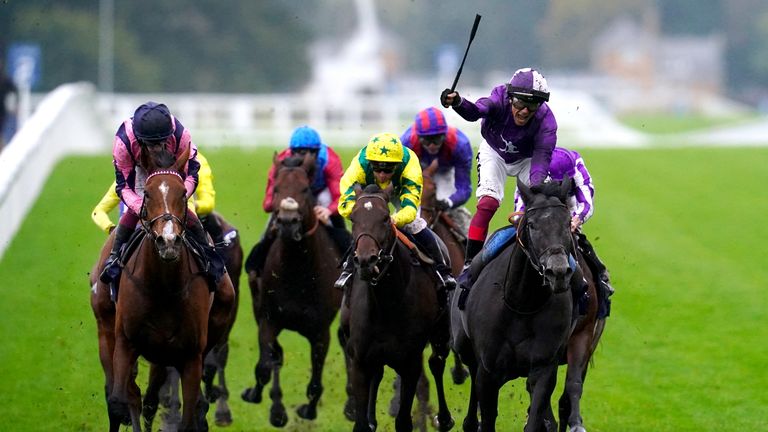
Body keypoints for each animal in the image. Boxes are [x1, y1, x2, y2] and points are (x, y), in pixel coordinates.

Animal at [240, 154, 342, 426]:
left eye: (305, 189)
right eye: (276, 188)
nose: (286, 222)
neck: (297, 270)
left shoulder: (321, 332)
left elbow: (315, 382)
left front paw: (309, 410)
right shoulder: (268, 319)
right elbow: (265, 366)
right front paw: (259, 397)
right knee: (275, 357)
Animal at [340, 185, 452, 432]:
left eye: (384, 218)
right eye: (353, 218)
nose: (366, 259)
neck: (387, 303)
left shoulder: (410, 362)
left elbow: (404, 421)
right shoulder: (360, 360)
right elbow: (360, 424)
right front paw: (367, 420)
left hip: (441, 331)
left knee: (437, 362)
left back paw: (444, 418)